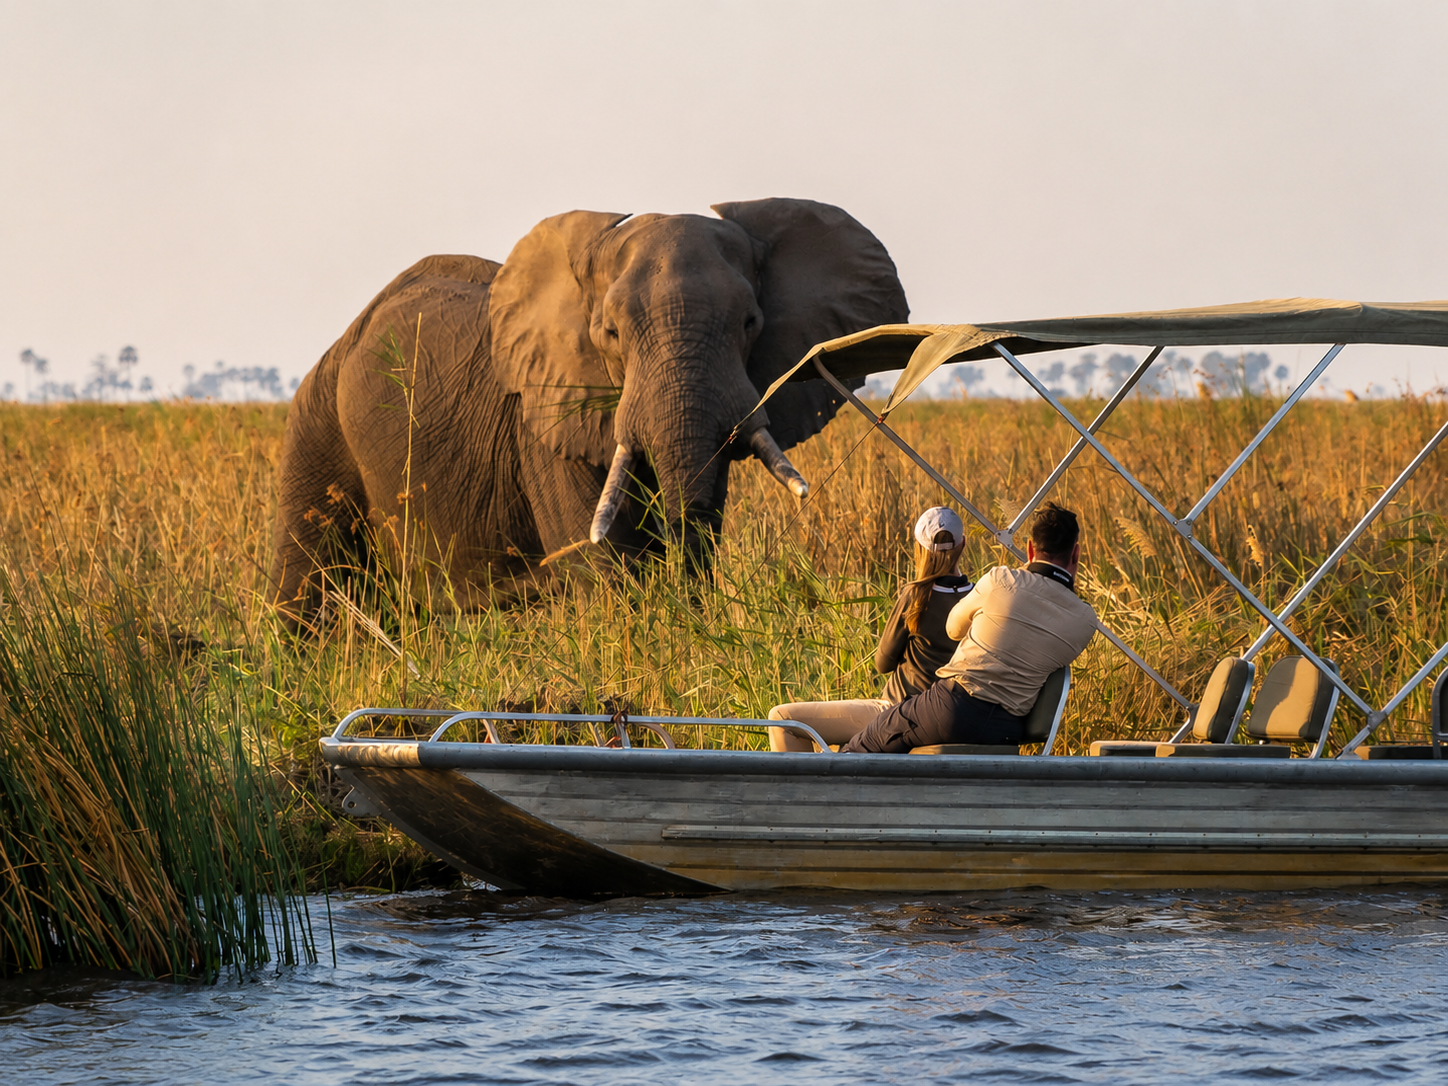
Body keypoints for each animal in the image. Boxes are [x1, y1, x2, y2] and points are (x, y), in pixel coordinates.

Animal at [269, 198, 908, 624]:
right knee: (311, 589)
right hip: (316, 418)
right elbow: (604, 563)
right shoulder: (544, 425)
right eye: (610, 333)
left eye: (750, 323)